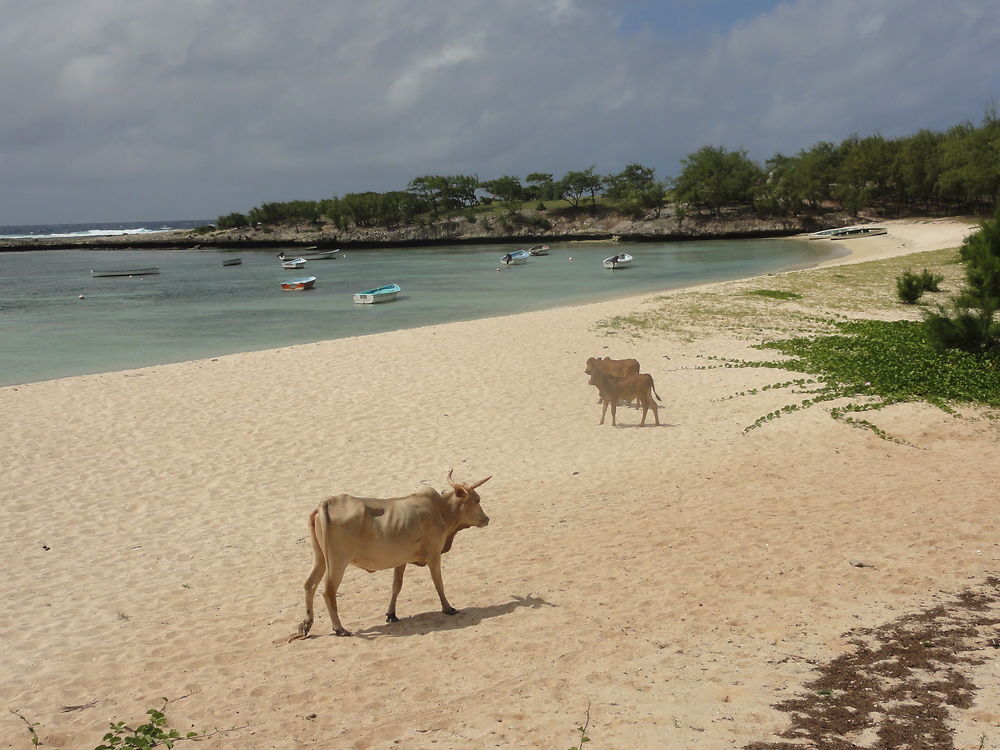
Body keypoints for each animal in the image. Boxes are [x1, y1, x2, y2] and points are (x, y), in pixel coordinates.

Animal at [290, 470, 492, 640]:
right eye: (477, 500)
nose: (486, 519)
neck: (440, 510)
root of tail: (328, 502)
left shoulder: (401, 561)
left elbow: (396, 586)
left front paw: (392, 614)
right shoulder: (434, 555)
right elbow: (438, 583)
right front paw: (448, 608)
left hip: (320, 559)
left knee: (309, 585)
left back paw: (306, 625)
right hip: (338, 562)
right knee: (328, 592)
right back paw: (339, 628)